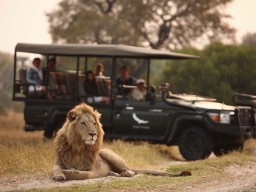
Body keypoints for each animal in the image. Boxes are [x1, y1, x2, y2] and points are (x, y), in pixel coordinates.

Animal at [52, 103, 191, 181]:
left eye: (94, 123)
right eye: (83, 123)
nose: (93, 134)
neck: (78, 146)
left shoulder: (93, 171)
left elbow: (83, 174)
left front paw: (69, 172)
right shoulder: (59, 162)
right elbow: (56, 169)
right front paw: (59, 175)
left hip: (108, 153)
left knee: (130, 171)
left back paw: (124, 173)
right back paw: (112, 173)